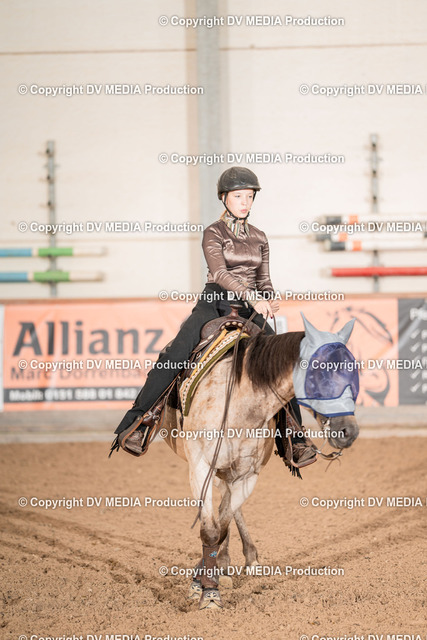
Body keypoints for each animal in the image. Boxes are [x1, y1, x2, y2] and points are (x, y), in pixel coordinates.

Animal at [160, 313, 360, 610]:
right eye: (319, 372)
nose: (348, 430)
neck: (242, 404)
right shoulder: (200, 468)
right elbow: (210, 530)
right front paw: (207, 593)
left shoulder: (248, 475)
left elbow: (221, 526)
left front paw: (209, 578)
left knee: (227, 509)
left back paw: (236, 561)